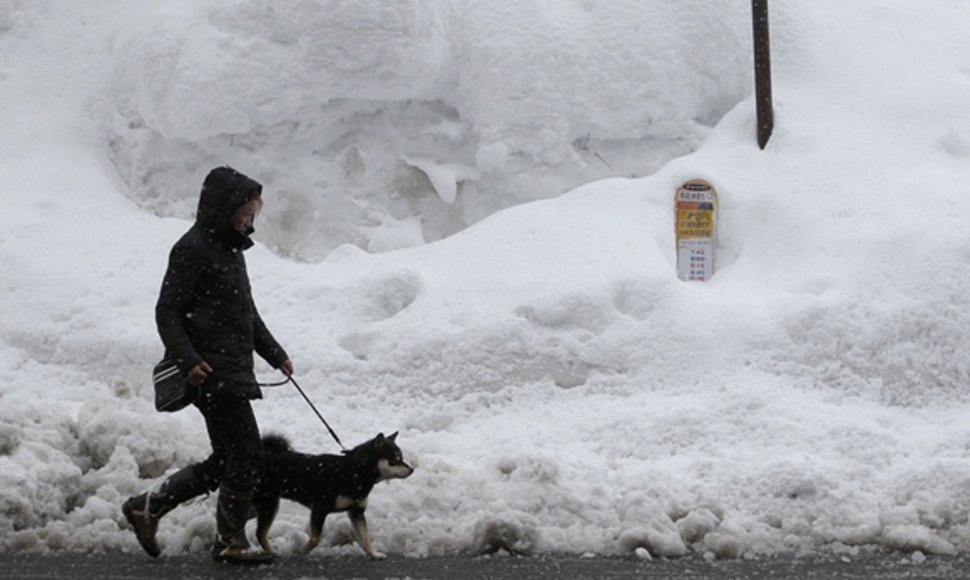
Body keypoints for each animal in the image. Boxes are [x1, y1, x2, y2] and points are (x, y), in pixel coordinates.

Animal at [251, 432, 410, 560]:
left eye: (401, 457)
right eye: (396, 459)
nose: (412, 469)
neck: (356, 471)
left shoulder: (357, 512)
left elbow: (365, 538)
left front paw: (374, 554)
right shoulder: (319, 508)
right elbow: (315, 538)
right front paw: (301, 551)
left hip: (260, 506)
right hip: (269, 504)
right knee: (260, 533)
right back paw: (271, 552)